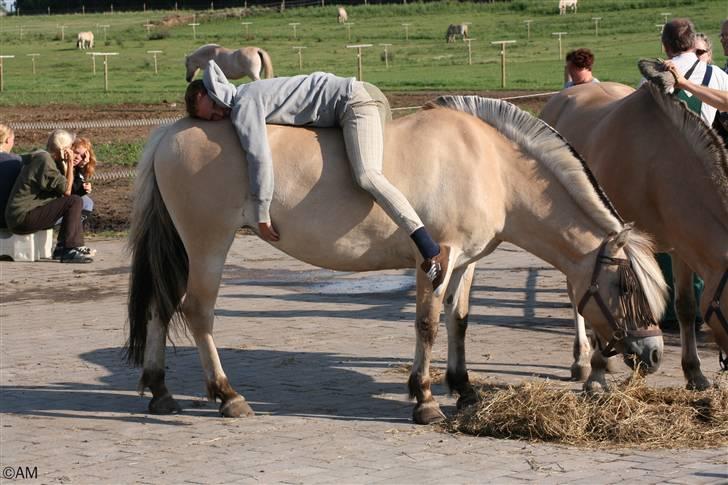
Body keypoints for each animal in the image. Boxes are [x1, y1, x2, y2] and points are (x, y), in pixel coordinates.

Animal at [125, 94, 664, 420]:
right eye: (626, 285)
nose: (654, 353)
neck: (490, 165)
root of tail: (170, 132)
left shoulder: (466, 262)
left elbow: (458, 321)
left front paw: (463, 389)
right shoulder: (439, 257)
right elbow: (427, 324)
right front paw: (424, 399)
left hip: (183, 249)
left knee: (159, 307)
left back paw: (161, 391)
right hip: (208, 245)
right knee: (197, 313)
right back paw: (227, 395)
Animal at [540, 82, 728, 390]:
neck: (654, 166)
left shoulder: (681, 247)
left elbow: (685, 307)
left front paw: (694, 372)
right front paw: (596, 375)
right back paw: (582, 359)